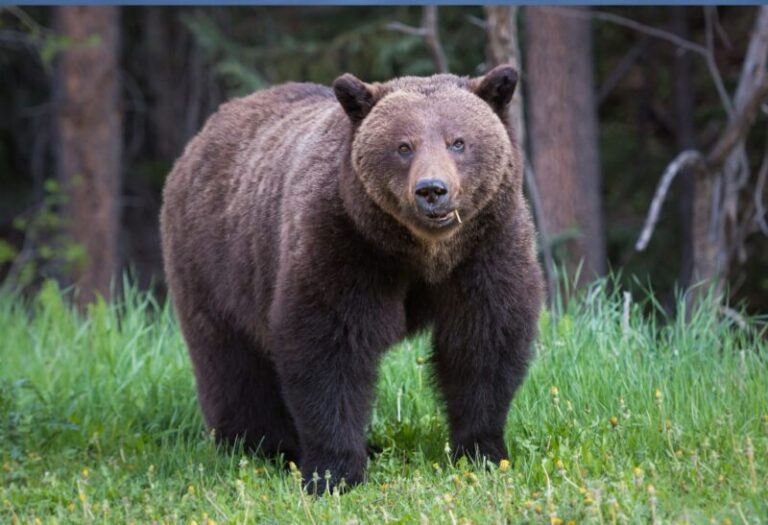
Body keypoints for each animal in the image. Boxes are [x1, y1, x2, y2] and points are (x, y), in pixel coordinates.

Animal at [160, 65, 544, 493]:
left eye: (458, 142)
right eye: (403, 146)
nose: (432, 190)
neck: (423, 252)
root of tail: (201, 137)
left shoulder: (486, 250)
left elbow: (483, 343)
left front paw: (482, 452)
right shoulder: (344, 245)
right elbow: (330, 349)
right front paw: (334, 472)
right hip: (217, 263)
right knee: (233, 363)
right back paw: (260, 444)